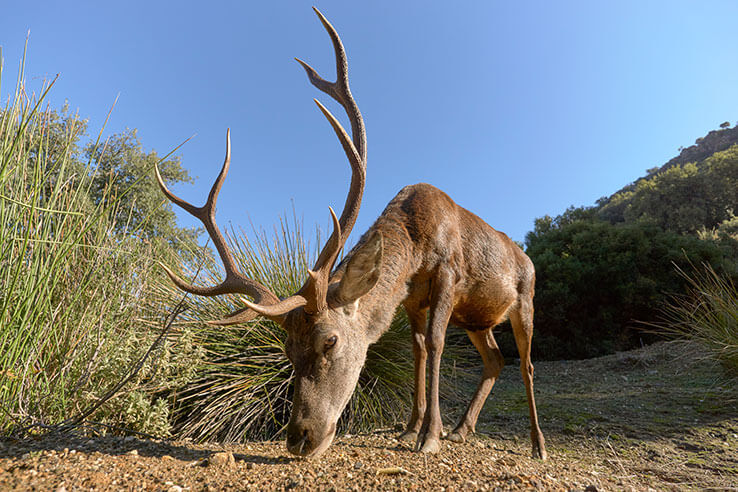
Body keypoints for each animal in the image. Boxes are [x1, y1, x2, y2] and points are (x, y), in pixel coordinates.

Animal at [155, 7, 547, 460]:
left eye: (330, 341)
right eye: (287, 350)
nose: (299, 438)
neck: (416, 242)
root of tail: (527, 259)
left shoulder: (449, 273)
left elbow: (434, 344)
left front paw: (428, 437)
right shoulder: (411, 298)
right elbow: (416, 349)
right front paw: (409, 430)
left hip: (525, 300)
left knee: (526, 363)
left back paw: (536, 444)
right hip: (478, 318)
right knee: (495, 360)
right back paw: (462, 429)